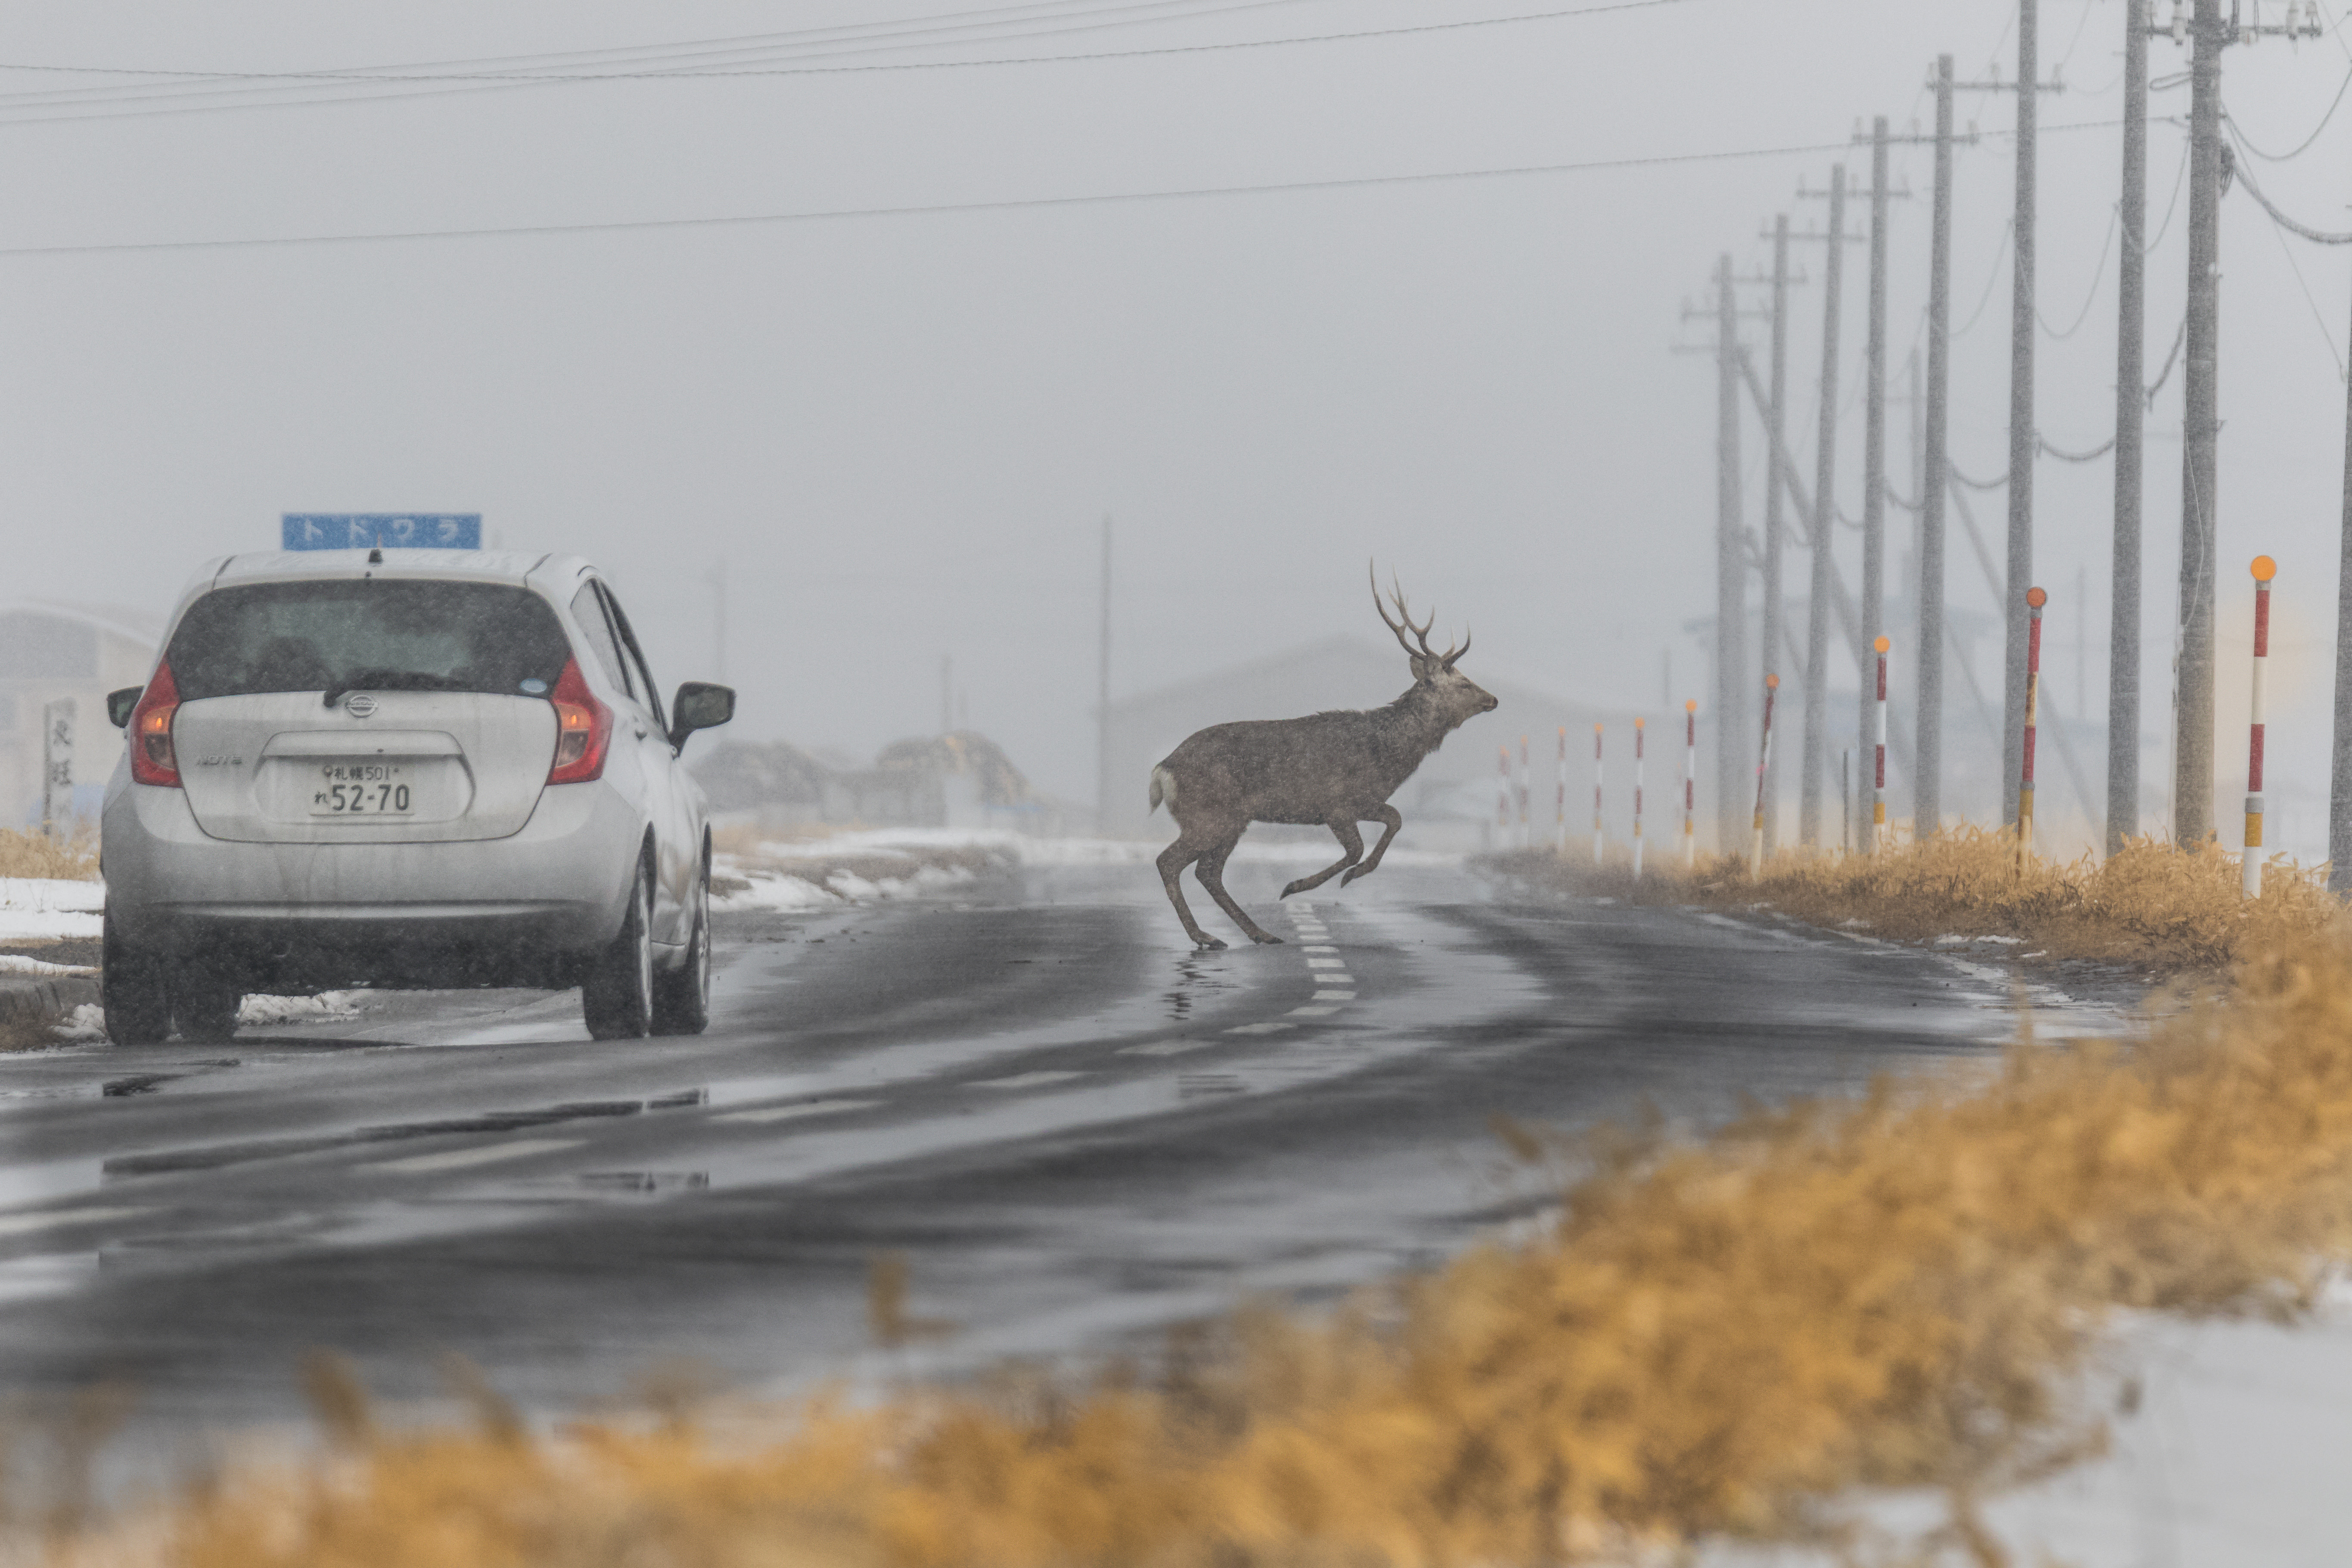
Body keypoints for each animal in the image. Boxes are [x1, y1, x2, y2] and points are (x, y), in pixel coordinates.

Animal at [1147, 571, 1496, 950]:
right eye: (1463, 683)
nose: (1493, 699)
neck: (1386, 754)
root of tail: (1163, 770)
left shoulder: (1363, 802)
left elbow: (1395, 820)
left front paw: (1341, 877)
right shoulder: (1337, 803)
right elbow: (1361, 845)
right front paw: (1302, 885)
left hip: (1232, 820)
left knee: (1207, 871)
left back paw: (1258, 933)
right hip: (1210, 814)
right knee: (1169, 862)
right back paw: (1205, 935)